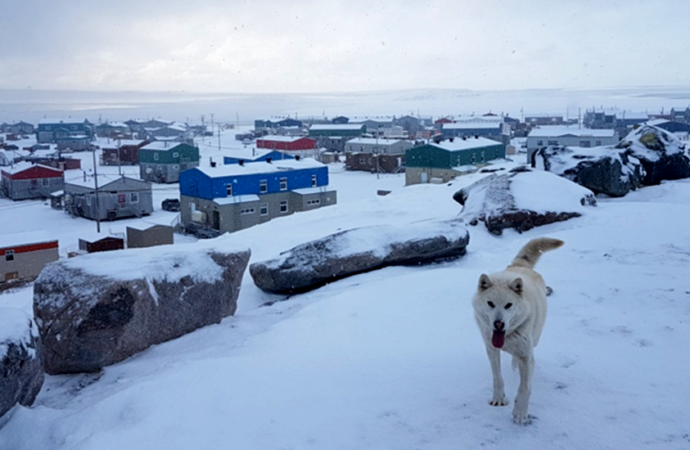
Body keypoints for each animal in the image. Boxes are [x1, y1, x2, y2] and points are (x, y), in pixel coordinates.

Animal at [470, 237, 560, 424]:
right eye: (490, 303)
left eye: (508, 305)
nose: (498, 324)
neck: (507, 336)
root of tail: (520, 265)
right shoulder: (491, 350)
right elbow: (497, 378)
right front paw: (499, 399)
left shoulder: (526, 355)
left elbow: (524, 387)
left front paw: (519, 413)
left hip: (535, 338)